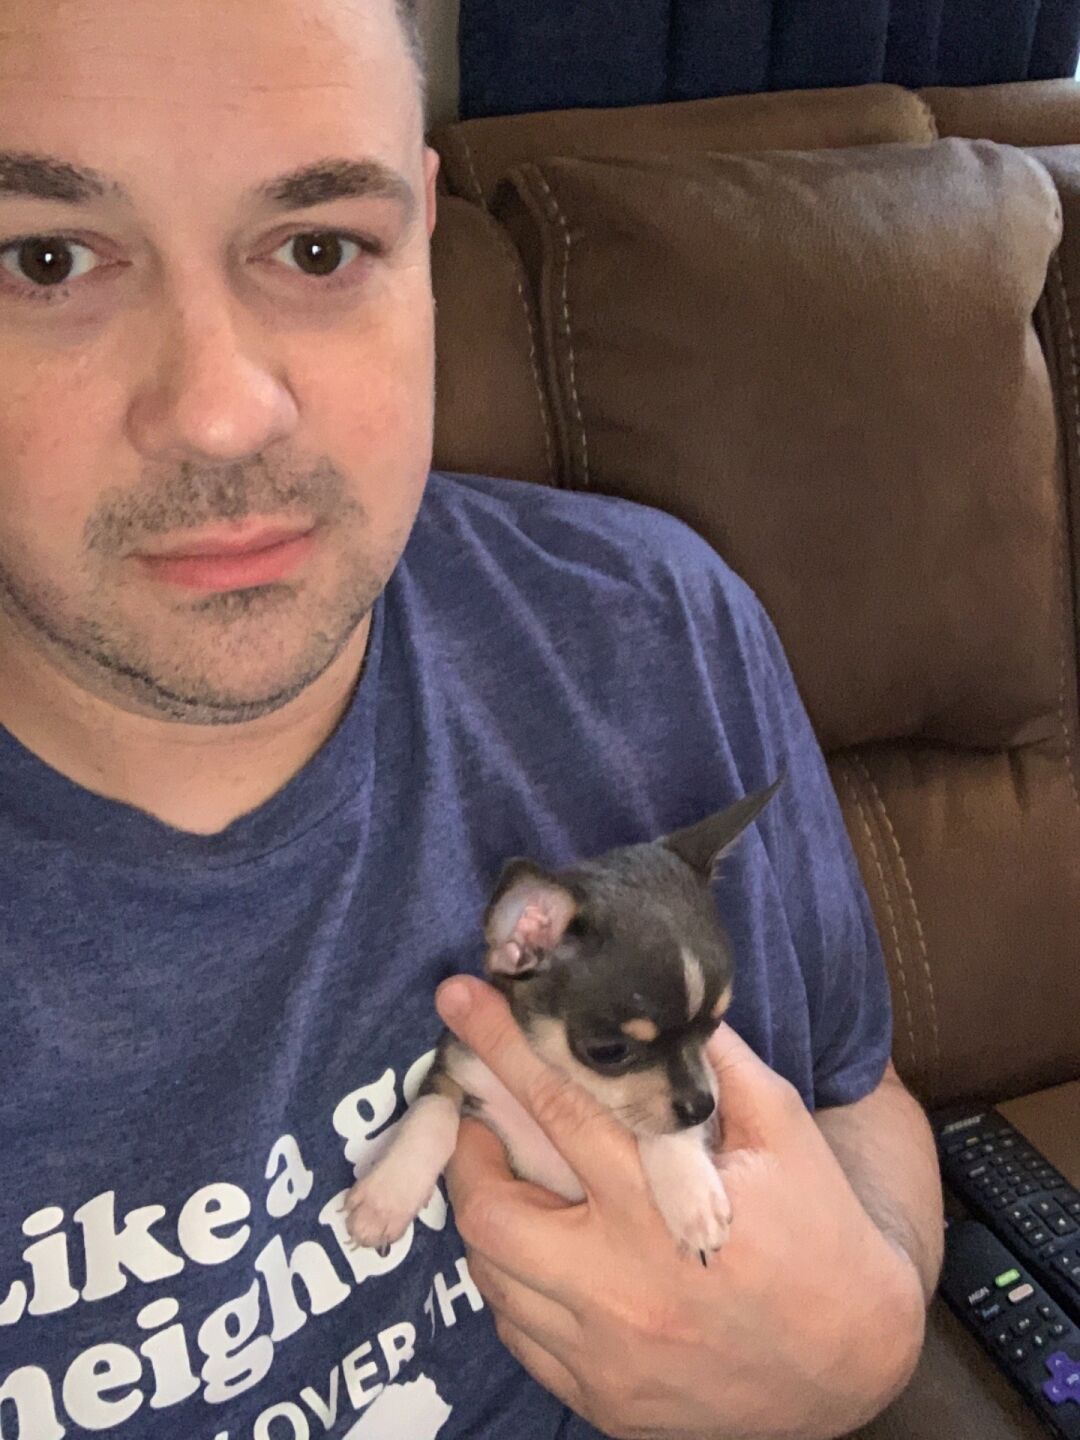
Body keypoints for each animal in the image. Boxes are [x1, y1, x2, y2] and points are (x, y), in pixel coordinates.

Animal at [344, 777, 781, 1264]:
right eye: (609, 1051)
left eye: (715, 1026)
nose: (702, 1106)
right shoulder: (456, 1067)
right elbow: (432, 1112)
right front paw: (387, 1196)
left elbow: (661, 1130)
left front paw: (692, 1198)